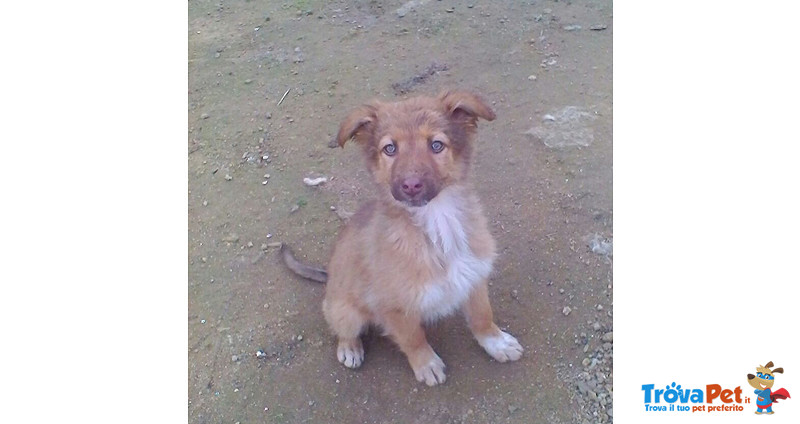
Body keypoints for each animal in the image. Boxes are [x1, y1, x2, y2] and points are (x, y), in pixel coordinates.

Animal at [282, 91, 524, 386]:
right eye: (390, 149)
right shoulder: (393, 307)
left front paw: (496, 342)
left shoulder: (473, 275)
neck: (437, 222)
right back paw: (350, 348)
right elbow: (413, 338)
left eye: (436, 145)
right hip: (345, 310)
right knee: (342, 327)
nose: (410, 185)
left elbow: (482, 316)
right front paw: (426, 364)